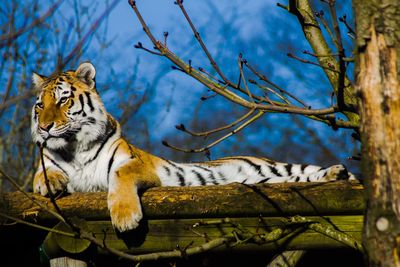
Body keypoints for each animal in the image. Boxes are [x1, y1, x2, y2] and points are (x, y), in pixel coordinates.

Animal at [32, 62, 356, 232]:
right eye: (40, 105)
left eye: (63, 99)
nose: (45, 127)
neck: (75, 148)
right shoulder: (48, 162)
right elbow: (42, 173)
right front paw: (51, 184)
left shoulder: (136, 162)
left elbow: (119, 176)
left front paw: (125, 219)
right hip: (265, 179)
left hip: (273, 167)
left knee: (306, 172)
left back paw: (338, 173)